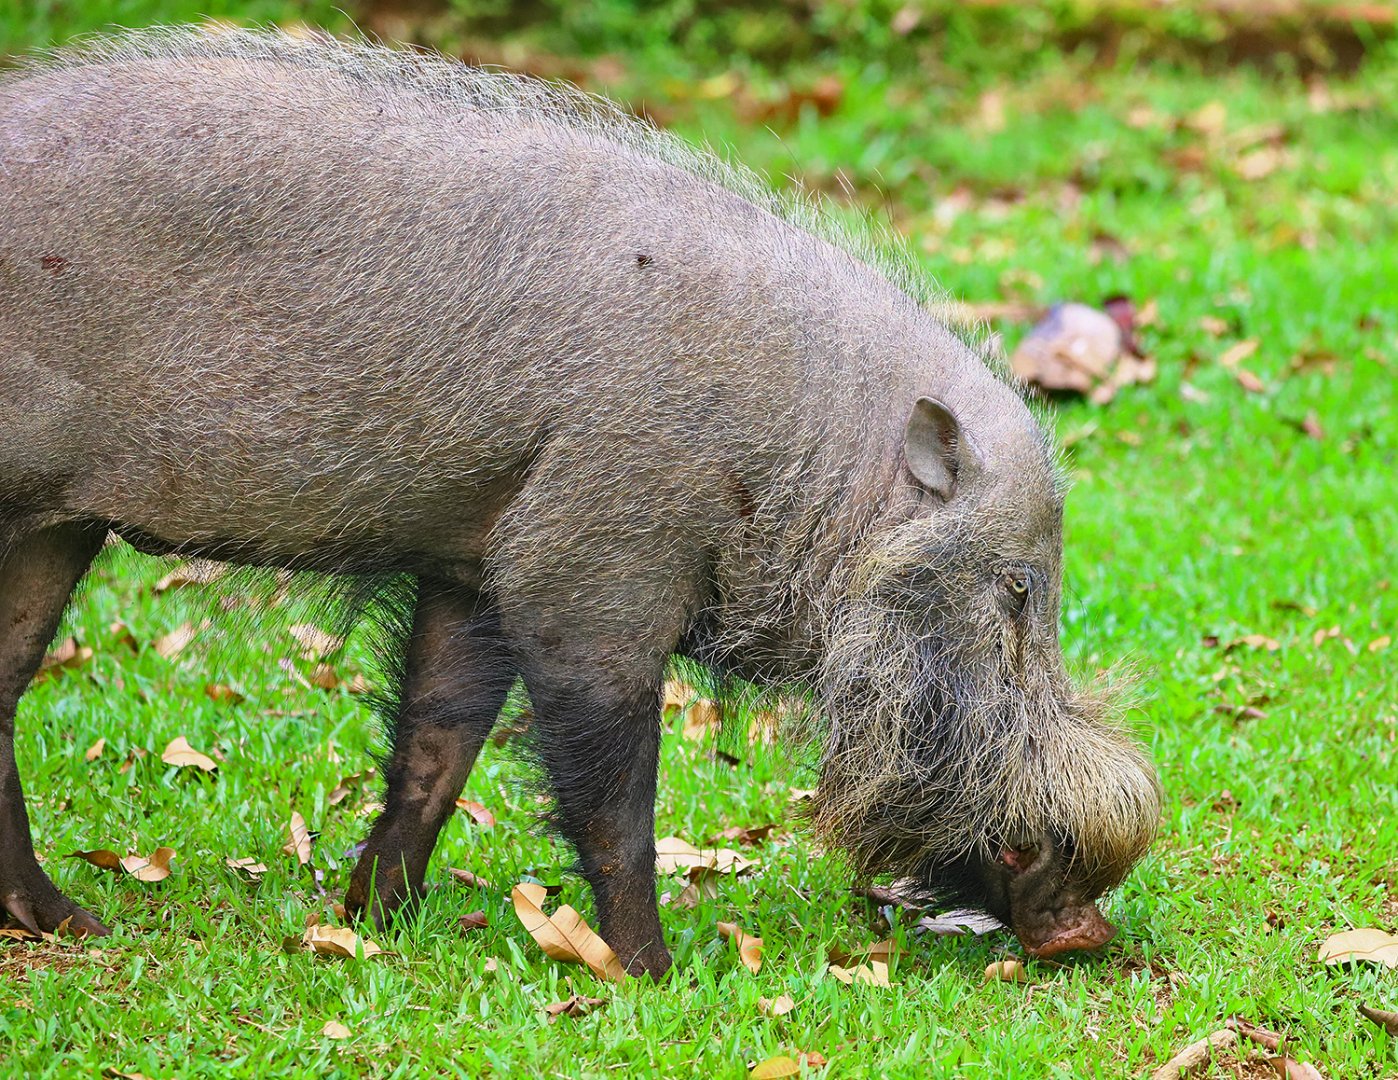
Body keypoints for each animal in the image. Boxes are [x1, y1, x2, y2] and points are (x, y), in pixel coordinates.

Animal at [0, 27, 1161, 976]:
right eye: (1017, 591)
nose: (1084, 930)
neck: (807, 459)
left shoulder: (474, 570)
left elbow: (439, 740)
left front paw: (376, 923)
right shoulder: (581, 576)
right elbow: (614, 802)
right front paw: (654, 974)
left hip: (56, 525)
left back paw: (65, 924)